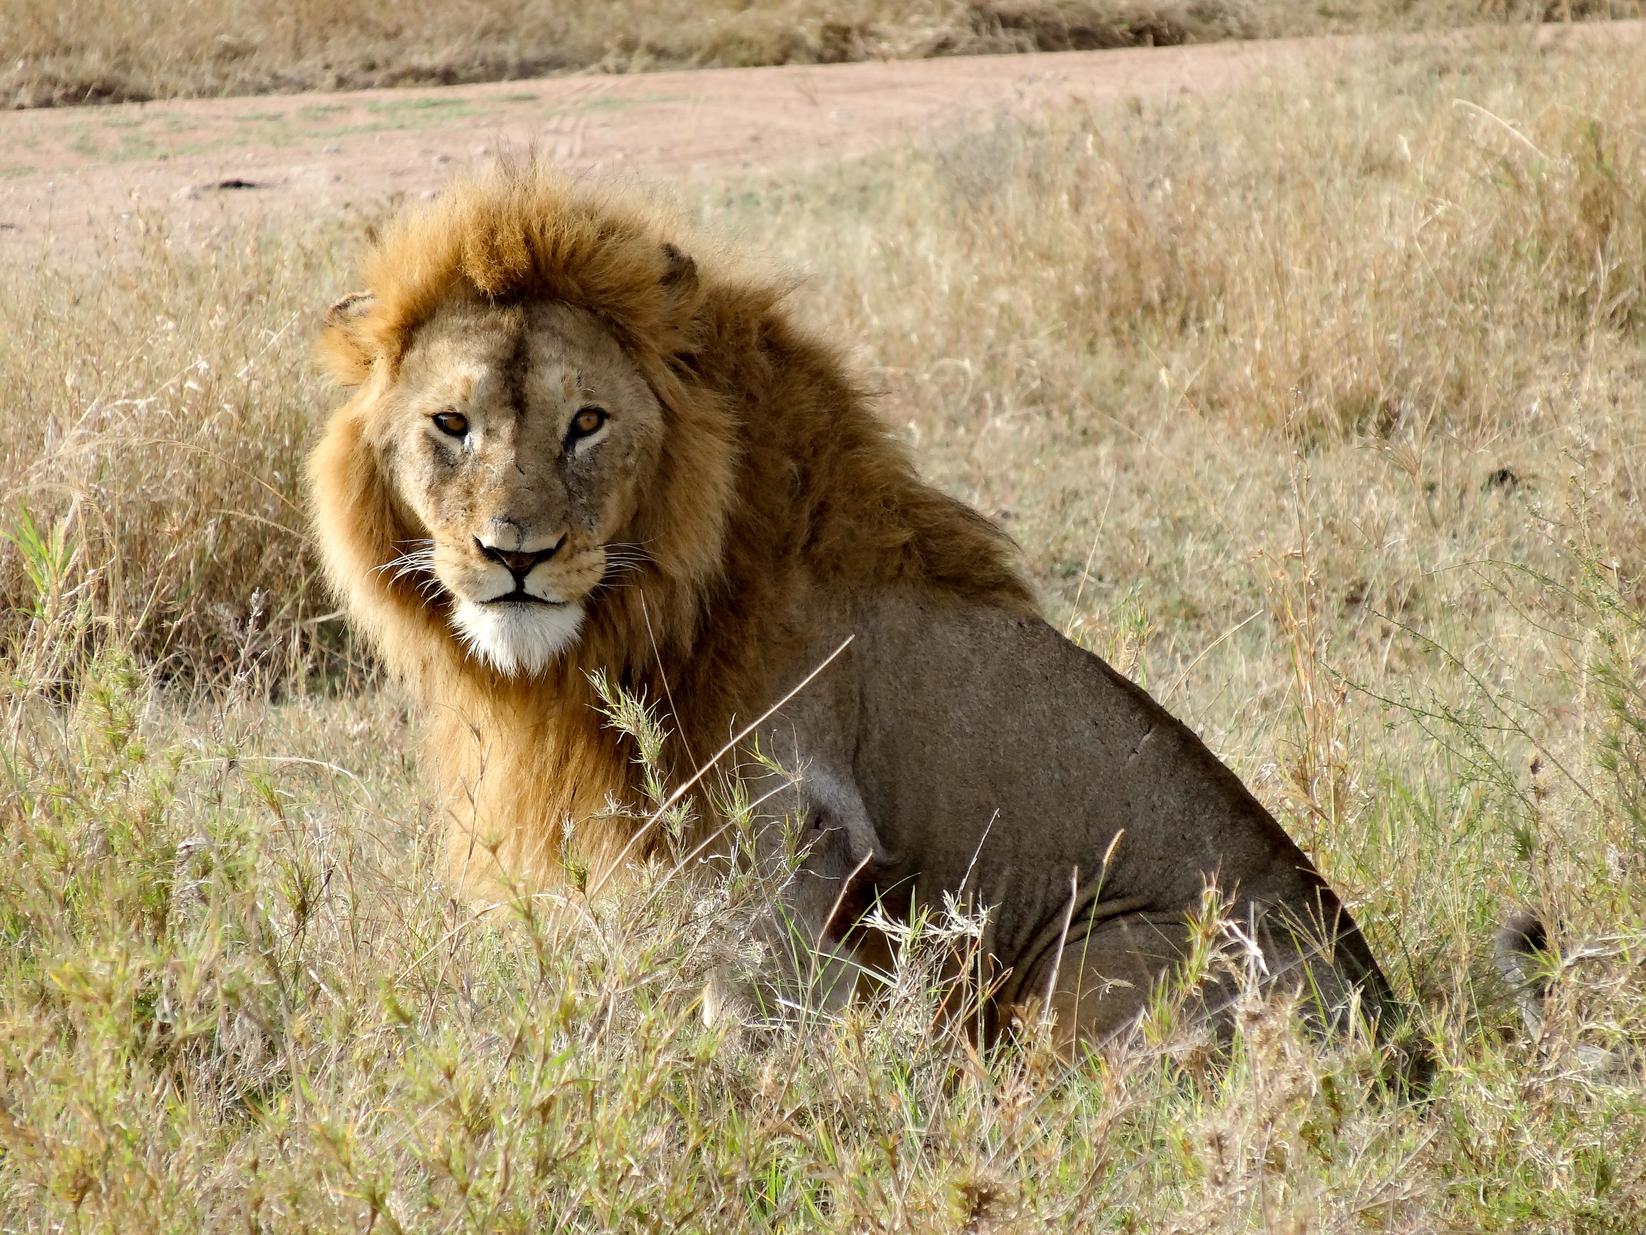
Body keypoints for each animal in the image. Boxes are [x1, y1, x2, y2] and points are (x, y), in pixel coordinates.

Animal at [308, 162, 1397, 1052]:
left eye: (587, 422)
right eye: (451, 424)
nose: (515, 553)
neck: (648, 610)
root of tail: (1393, 1030)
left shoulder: (794, 837)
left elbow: (749, 1029)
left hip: (1100, 956)